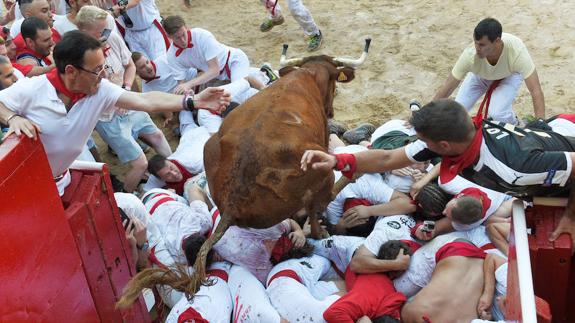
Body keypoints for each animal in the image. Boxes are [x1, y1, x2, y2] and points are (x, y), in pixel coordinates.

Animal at [187, 39, 372, 294]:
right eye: (335, 83)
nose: (332, 110)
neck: (309, 74)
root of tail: (233, 201)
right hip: (322, 173)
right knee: (316, 209)